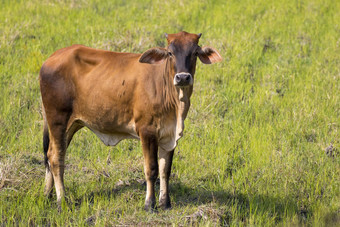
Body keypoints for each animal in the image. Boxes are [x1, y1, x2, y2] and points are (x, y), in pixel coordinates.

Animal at [39, 31, 222, 210]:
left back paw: (47, 195)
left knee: (52, 153)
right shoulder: (147, 131)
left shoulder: (169, 134)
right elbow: (152, 169)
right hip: (58, 119)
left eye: (195, 52)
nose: (183, 77)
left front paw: (165, 203)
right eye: (170, 53)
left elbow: (165, 170)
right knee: (56, 157)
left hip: (72, 124)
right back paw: (61, 201)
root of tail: (51, 58)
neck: (175, 100)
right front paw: (149, 204)